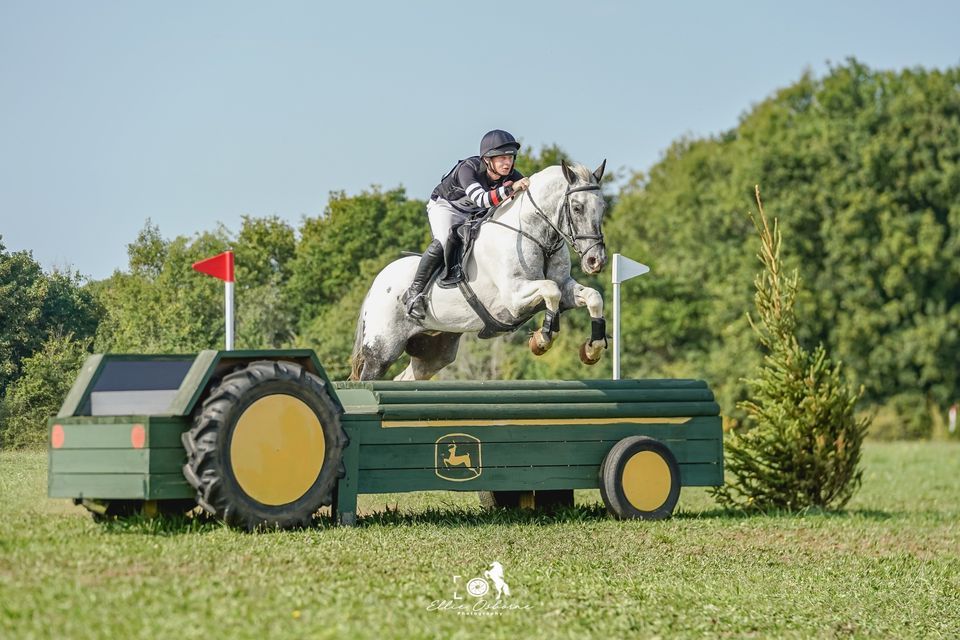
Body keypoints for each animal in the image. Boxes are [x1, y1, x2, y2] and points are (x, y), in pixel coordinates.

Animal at [349, 160, 608, 381]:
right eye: (577, 208)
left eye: (602, 207)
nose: (596, 261)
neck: (535, 235)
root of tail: (377, 284)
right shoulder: (515, 297)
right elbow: (550, 290)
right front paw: (542, 339)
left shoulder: (565, 287)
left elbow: (592, 296)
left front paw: (592, 349)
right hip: (382, 350)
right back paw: (413, 300)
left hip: (434, 351)